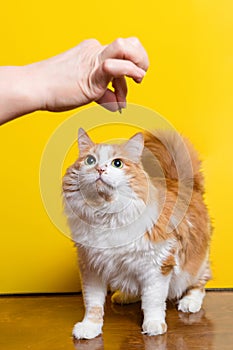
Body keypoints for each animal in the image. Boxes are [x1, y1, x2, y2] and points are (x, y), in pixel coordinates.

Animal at [62, 128, 212, 340]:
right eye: (90, 160)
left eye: (117, 163)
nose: (100, 169)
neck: (106, 216)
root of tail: (180, 182)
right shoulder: (91, 267)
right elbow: (93, 304)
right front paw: (89, 328)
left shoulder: (157, 266)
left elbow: (153, 300)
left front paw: (154, 325)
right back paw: (125, 296)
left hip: (192, 266)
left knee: (200, 282)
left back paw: (190, 302)